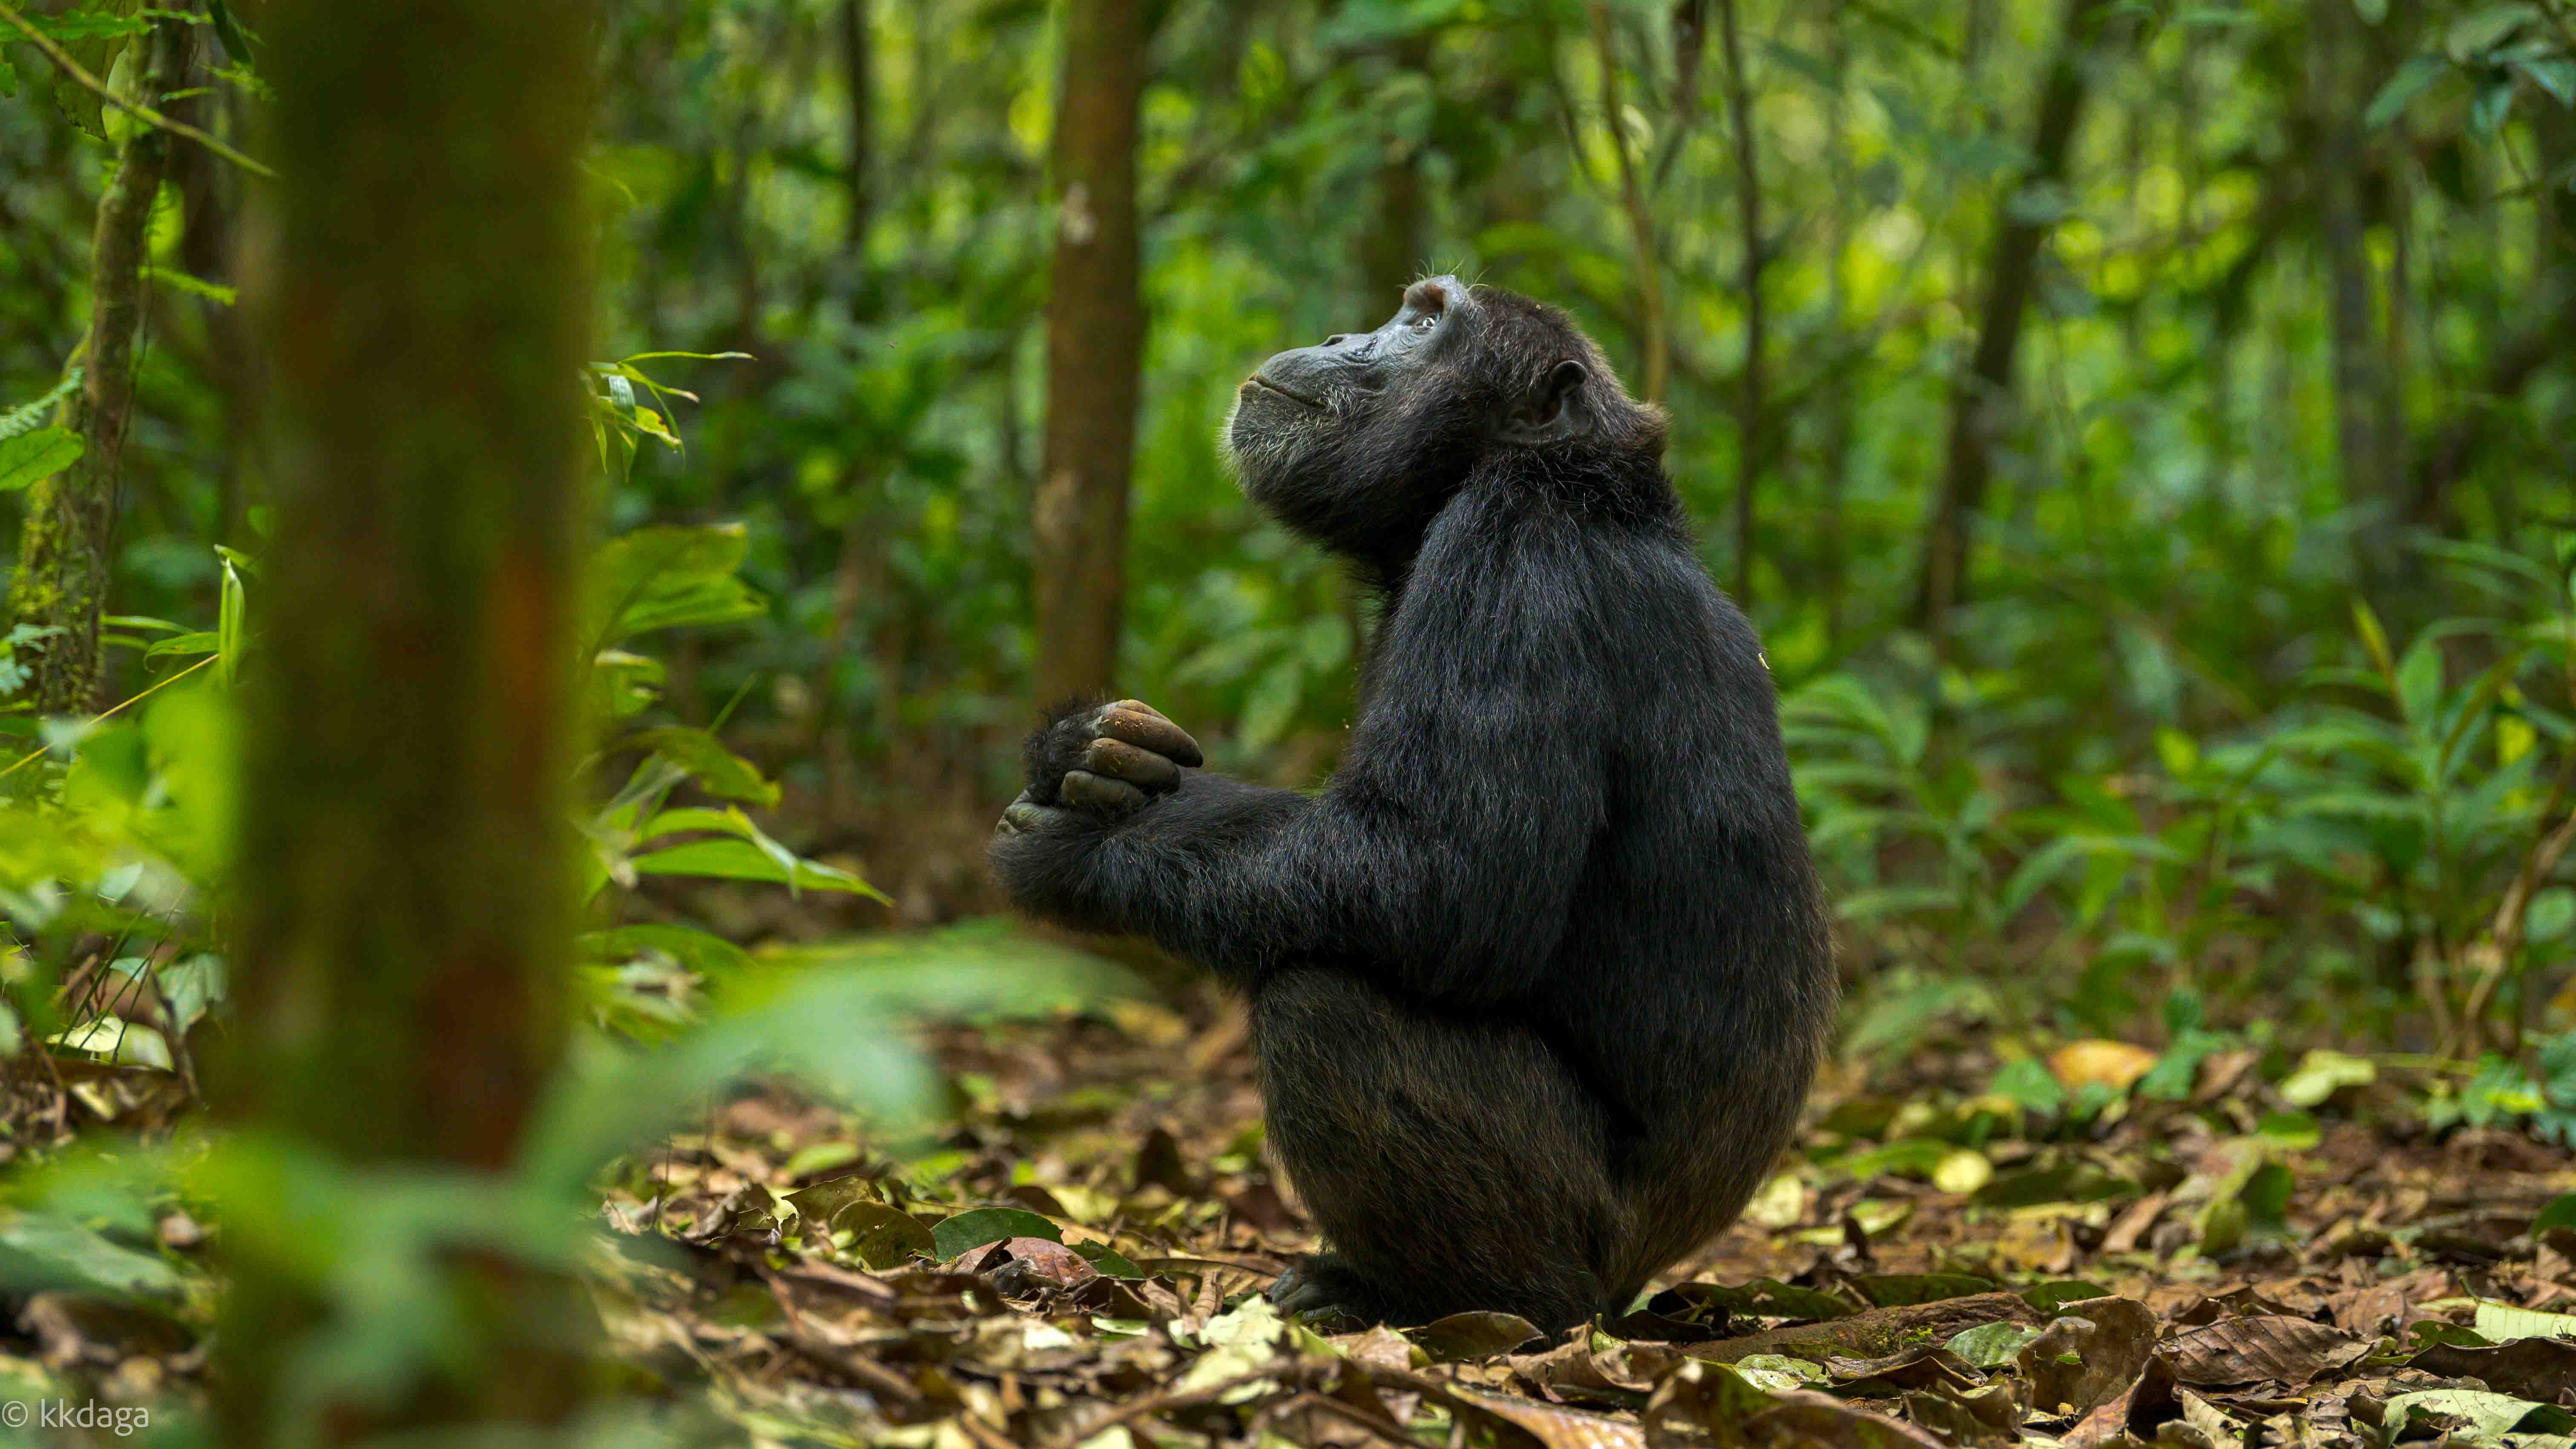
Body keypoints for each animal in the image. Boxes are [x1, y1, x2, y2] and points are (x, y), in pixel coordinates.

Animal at [984, 276, 1834, 1330]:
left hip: (1578, 1231)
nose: (1346, 334)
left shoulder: (1510, 560)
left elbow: (1435, 874)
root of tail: (1652, 1271)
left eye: (1426, 321)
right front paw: (1086, 747)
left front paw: (1081, 847)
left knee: (1323, 1005)